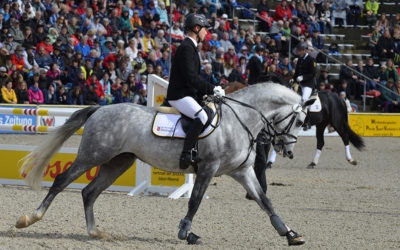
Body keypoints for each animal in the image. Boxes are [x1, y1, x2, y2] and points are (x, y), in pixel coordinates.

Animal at [17, 82, 312, 246]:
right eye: (299, 120)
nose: (288, 151)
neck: (239, 119)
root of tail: (100, 109)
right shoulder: (208, 168)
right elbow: (194, 201)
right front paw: (186, 233)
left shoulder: (243, 171)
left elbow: (266, 201)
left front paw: (290, 234)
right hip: (93, 155)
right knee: (61, 181)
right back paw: (29, 219)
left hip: (118, 163)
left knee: (89, 192)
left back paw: (96, 232)